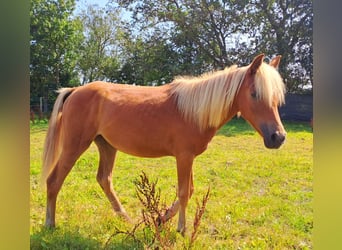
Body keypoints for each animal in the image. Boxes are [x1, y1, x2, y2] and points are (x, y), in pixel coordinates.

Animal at [40, 53, 286, 234]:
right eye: (254, 93)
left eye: (276, 97)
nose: (278, 137)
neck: (193, 111)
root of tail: (74, 91)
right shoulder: (184, 157)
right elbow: (184, 192)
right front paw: (181, 229)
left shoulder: (189, 157)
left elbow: (189, 190)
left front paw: (161, 219)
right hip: (74, 146)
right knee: (54, 181)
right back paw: (50, 224)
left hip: (107, 146)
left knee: (104, 179)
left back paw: (126, 218)